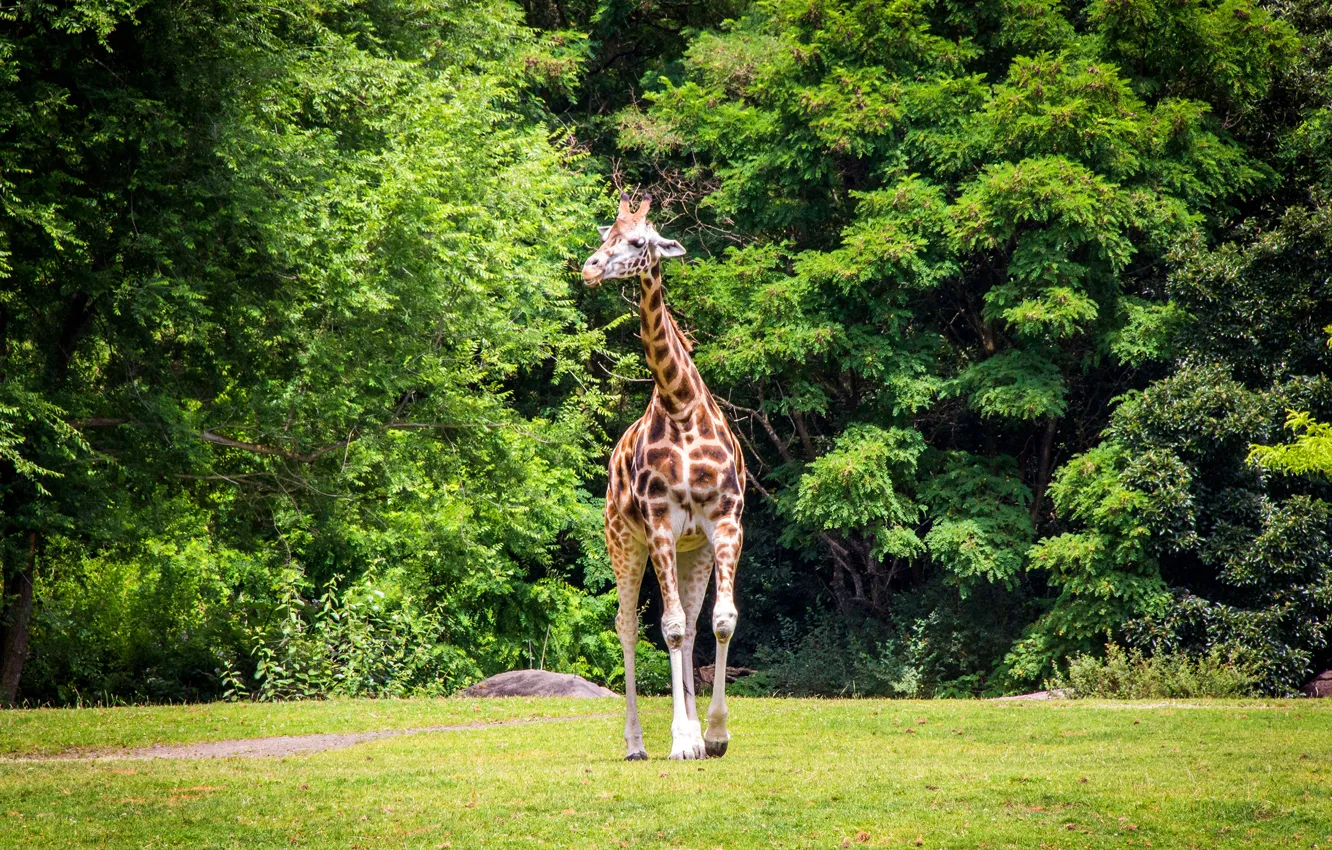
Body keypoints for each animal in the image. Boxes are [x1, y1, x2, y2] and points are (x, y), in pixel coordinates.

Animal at [582, 192, 745, 761]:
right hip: (622, 540)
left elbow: (719, 621)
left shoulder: (726, 521)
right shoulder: (657, 523)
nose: (589, 268)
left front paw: (712, 735)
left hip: (693, 550)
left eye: (637, 241)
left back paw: (696, 734)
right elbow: (669, 628)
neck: (681, 406)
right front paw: (680, 740)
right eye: (604, 235)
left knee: (695, 626)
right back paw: (635, 743)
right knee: (629, 625)